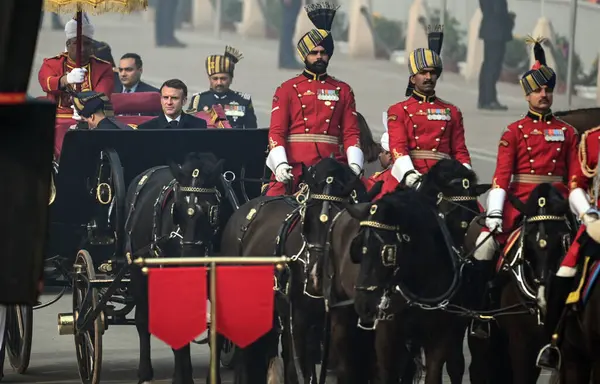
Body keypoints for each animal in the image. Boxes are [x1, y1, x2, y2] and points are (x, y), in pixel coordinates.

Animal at [127, 153, 226, 384]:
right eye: (176, 211)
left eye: (211, 211)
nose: (188, 262)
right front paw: (183, 377)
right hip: (138, 274)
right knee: (143, 321)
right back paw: (146, 372)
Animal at [330, 158, 490, 382]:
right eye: (360, 246)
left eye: (471, 214)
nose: (365, 304)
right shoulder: (388, 336)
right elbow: (386, 373)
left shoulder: (442, 334)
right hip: (342, 314)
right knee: (347, 365)